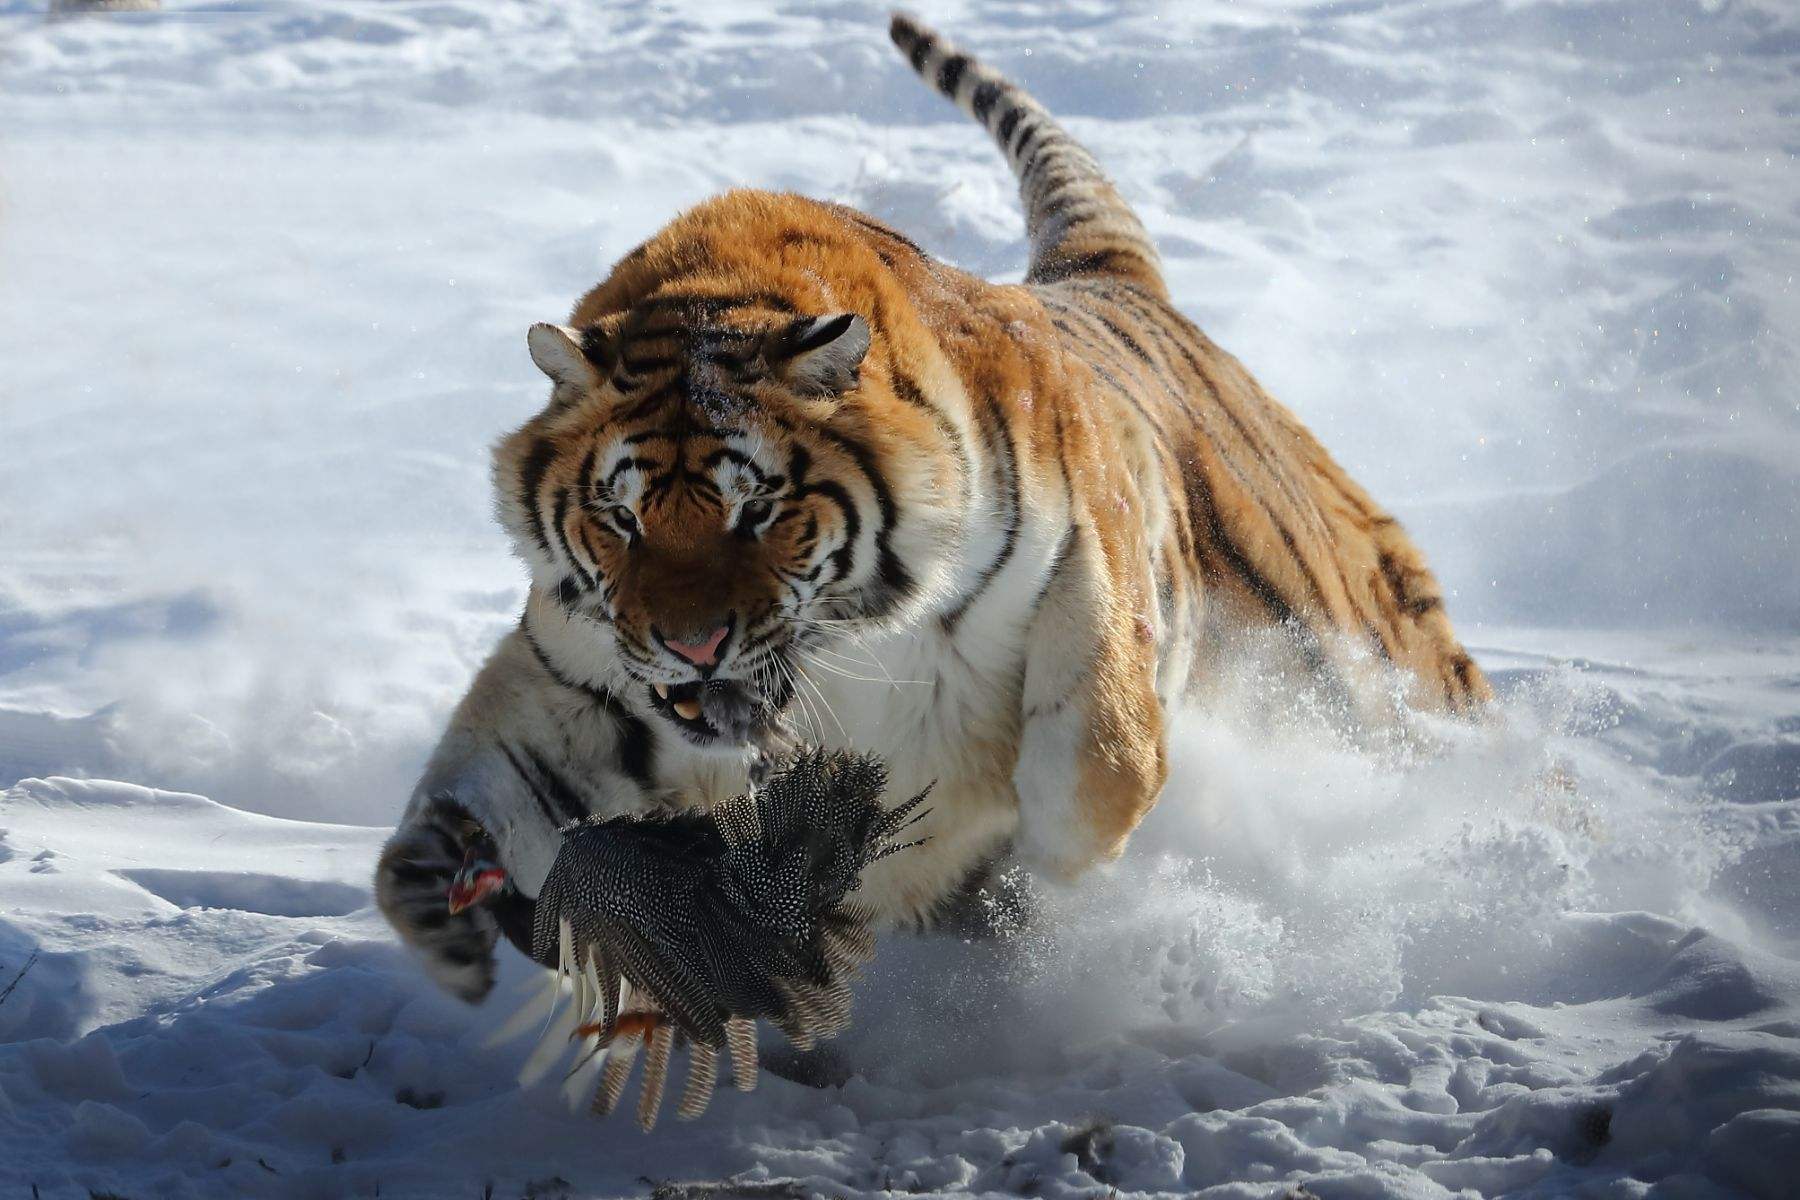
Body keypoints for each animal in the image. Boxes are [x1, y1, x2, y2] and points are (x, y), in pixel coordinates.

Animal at [376, 13, 1490, 1004]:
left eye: (755, 511)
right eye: (622, 519)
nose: (694, 646)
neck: (847, 647)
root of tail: (1107, 279)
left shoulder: (1089, 555)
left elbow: (1095, 756)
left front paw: (1051, 882)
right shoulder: (586, 675)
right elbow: (475, 788)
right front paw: (442, 907)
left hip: (1357, 658)